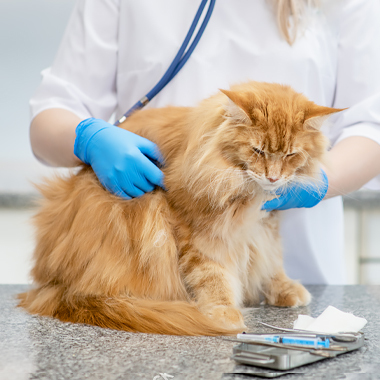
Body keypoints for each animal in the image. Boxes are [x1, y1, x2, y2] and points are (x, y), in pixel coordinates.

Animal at [19, 81, 342, 336]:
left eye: (290, 155)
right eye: (258, 151)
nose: (273, 177)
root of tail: (59, 286)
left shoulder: (266, 220)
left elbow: (272, 258)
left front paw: (283, 288)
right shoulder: (197, 231)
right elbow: (213, 275)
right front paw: (224, 312)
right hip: (142, 208)